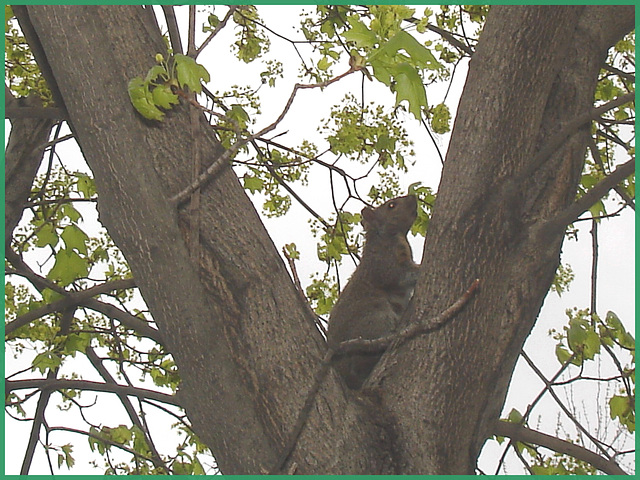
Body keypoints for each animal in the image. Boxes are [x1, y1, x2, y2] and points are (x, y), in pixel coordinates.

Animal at [324, 195, 420, 390]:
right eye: (391, 206)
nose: (414, 197)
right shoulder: (384, 264)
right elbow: (399, 275)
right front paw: (420, 269)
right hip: (375, 318)